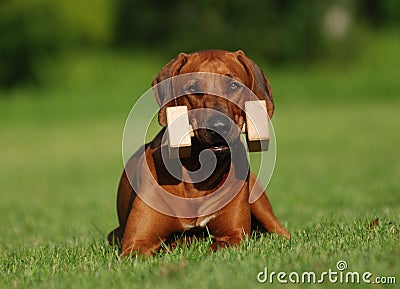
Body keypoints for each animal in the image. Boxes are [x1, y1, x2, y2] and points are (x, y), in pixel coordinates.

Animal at [108, 49, 290, 254]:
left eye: (233, 85)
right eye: (192, 88)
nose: (219, 126)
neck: (198, 171)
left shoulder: (234, 236)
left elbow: (217, 246)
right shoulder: (136, 243)